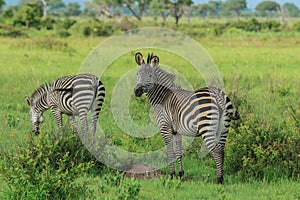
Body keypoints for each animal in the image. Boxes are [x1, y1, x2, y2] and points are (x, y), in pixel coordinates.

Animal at [134, 52, 239, 184]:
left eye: (150, 75)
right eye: (137, 74)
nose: (137, 91)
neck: (162, 97)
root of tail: (217, 94)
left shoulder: (164, 127)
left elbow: (170, 151)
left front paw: (171, 175)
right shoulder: (176, 131)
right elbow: (179, 152)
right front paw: (180, 174)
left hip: (206, 128)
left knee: (215, 151)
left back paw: (219, 180)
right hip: (224, 129)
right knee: (221, 150)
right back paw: (222, 178)